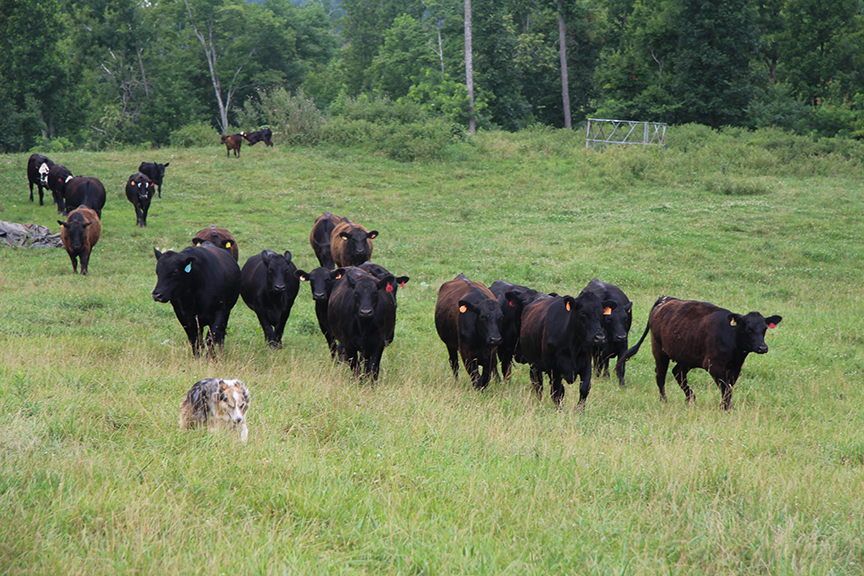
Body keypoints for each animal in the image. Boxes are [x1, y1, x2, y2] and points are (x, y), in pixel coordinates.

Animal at [615, 296, 782, 410]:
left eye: (764, 329)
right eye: (748, 329)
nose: (762, 347)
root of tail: (666, 299)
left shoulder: (734, 369)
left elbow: (728, 389)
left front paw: (725, 406)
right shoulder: (714, 366)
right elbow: (726, 389)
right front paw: (726, 408)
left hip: (687, 356)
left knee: (678, 373)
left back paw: (690, 398)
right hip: (659, 350)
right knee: (660, 375)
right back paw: (664, 400)